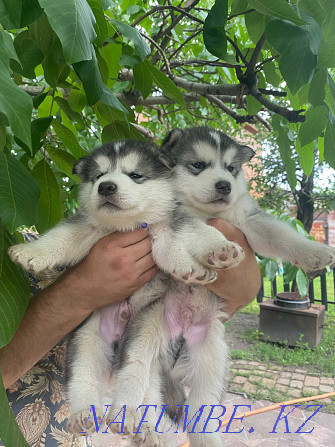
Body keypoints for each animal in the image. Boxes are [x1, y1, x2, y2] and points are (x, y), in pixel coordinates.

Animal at [108, 127, 335, 447]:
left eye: (230, 168)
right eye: (198, 165)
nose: (225, 185)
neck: (203, 209)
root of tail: (179, 338)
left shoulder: (249, 220)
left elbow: (280, 235)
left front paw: (315, 252)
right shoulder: (177, 215)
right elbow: (198, 229)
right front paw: (220, 248)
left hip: (212, 356)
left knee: (200, 408)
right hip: (145, 331)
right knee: (138, 371)